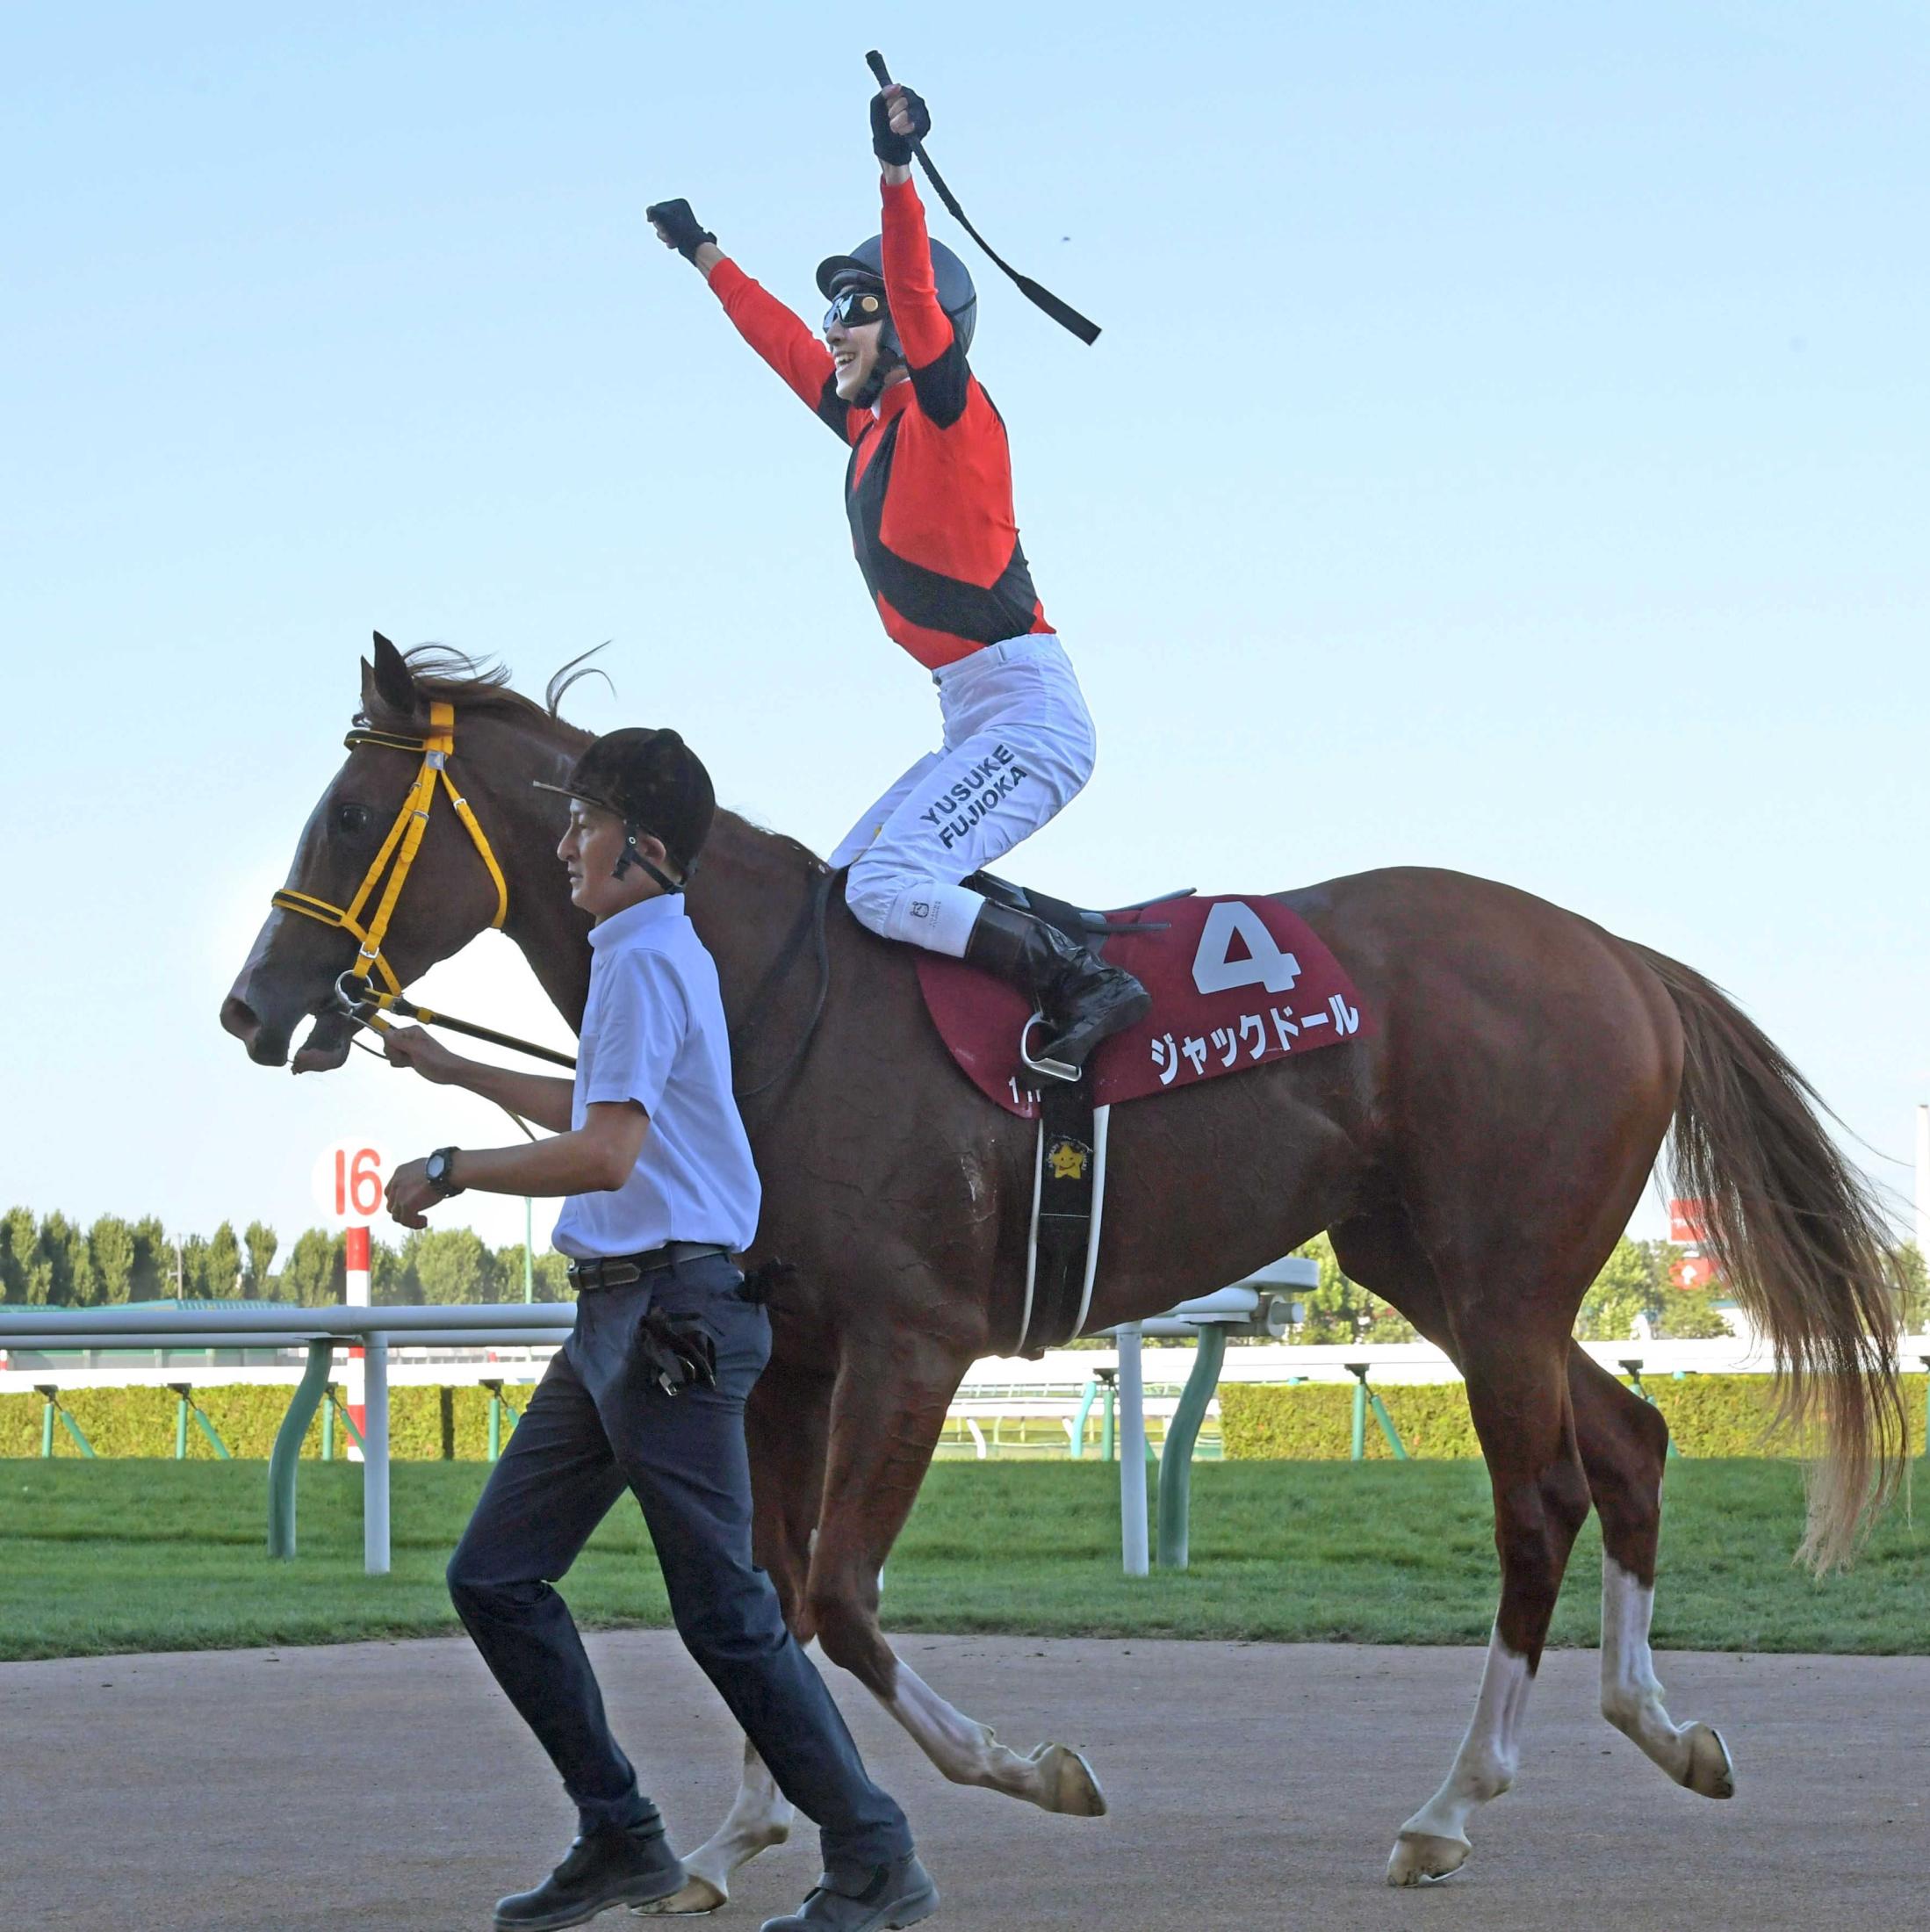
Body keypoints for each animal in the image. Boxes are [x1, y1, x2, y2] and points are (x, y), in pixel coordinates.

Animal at [222, 638, 1900, 1900]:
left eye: (349, 818)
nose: (254, 1004)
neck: (760, 992)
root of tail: (1621, 958)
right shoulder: (791, 1353)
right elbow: (764, 1595)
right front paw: (737, 1834)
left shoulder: (911, 1342)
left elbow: (837, 1596)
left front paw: (1023, 1771)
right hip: (1450, 1271)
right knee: (1633, 1441)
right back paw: (1661, 1727)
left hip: (1495, 1286)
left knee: (1540, 1498)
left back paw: (1448, 1805)